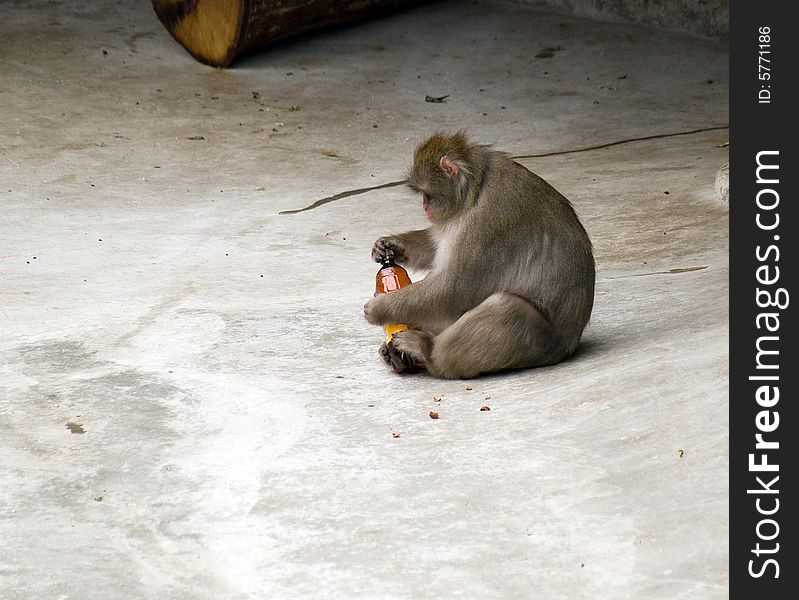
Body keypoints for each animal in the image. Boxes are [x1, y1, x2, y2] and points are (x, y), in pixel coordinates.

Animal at [362, 132, 592, 380]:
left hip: (541, 345)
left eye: (426, 193)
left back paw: (427, 353)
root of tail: (569, 345)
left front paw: (380, 307)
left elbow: (453, 288)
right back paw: (396, 356)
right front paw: (390, 245)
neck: (474, 189)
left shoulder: (486, 224)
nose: (424, 207)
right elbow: (437, 247)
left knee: (507, 307)